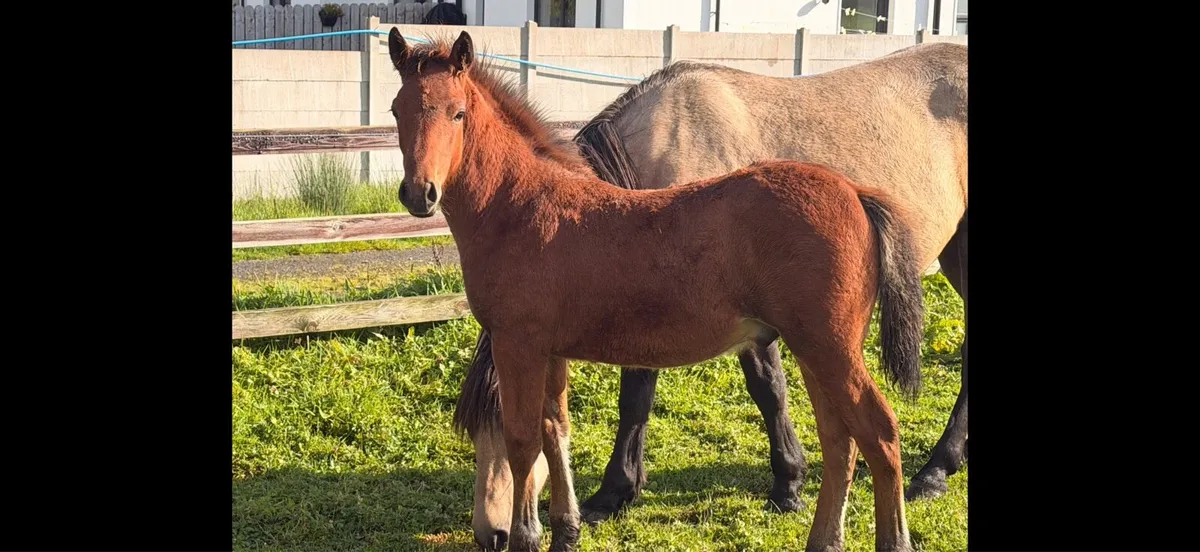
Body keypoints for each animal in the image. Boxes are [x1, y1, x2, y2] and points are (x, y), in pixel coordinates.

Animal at [387, 29, 928, 552]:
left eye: (458, 112)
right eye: (397, 109)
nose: (420, 194)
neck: (522, 206)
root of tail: (854, 192)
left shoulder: (518, 344)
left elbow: (525, 442)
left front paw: (527, 535)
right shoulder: (551, 350)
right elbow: (556, 431)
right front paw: (567, 529)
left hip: (830, 348)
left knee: (879, 432)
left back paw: (894, 539)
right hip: (816, 350)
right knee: (840, 440)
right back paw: (824, 540)